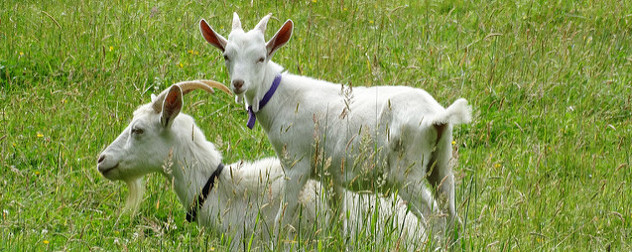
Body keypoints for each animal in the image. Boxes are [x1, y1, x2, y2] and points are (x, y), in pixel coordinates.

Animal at [200, 12, 472, 242]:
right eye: (226, 56)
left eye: (261, 58)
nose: (238, 83)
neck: (280, 98)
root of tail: (437, 116)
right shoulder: (331, 175)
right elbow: (337, 220)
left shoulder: (296, 165)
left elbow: (282, 218)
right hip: (441, 160)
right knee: (452, 216)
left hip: (406, 170)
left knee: (435, 220)